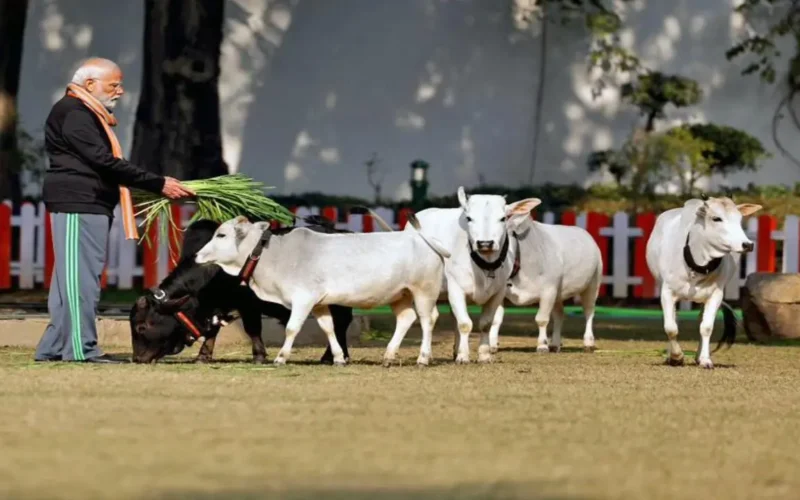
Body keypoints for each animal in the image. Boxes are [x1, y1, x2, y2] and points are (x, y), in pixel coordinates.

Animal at [194, 213, 450, 366]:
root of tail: (421, 238)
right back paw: (388, 356)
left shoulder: (303, 299)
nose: (197, 255)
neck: (275, 254)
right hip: (400, 295)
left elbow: (292, 328)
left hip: (424, 291)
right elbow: (329, 328)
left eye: (221, 234)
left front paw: (281, 357)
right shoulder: (319, 303)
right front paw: (337, 358)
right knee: (406, 319)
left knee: (427, 319)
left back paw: (423, 358)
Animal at [378, 187, 540, 364]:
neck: (484, 265)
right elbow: (464, 324)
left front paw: (483, 355)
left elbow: (486, 323)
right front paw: (463, 356)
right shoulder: (456, 289)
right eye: (469, 218)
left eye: (503, 218)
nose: (485, 243)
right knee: (431, 317)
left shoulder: (498, 292)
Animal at [488, 211, 608, 352]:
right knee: (559, 314)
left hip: (593, 283)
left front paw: (542, 345)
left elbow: (542, 319)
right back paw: (555, 343)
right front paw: (492, 345)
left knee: (589, 311)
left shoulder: (548, 290)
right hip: (559, 292)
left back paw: (588, 342)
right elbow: (496, 319)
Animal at [644, 197, 764, 370]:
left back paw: (698, 356)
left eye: (739, 219)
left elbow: (706, 327)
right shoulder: (667, 292)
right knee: (673, 319)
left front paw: (705, 360)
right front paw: (676, 356)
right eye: (716, 218)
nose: (747, 244)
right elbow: (671, 327)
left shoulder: (715, 295)